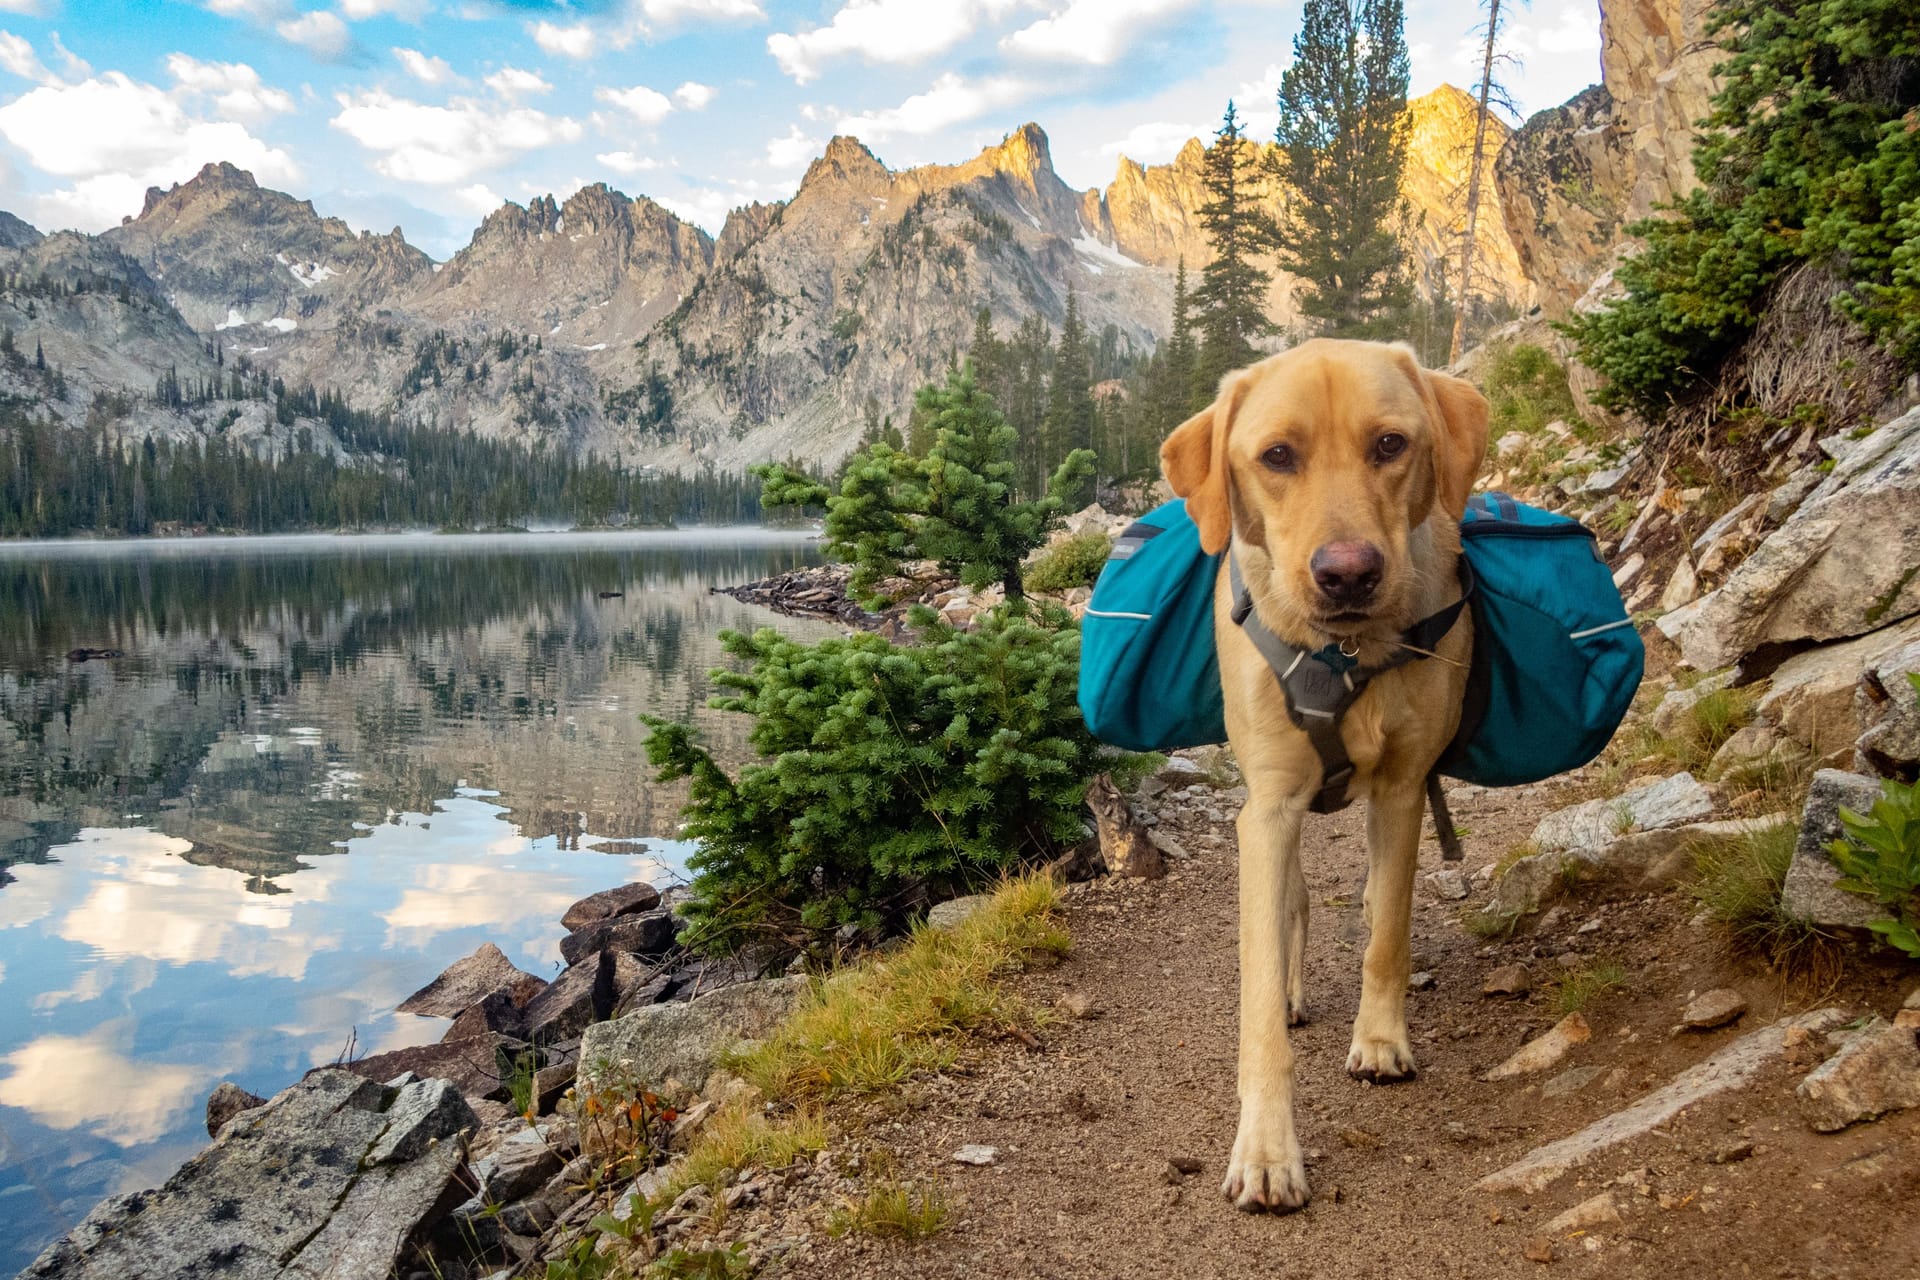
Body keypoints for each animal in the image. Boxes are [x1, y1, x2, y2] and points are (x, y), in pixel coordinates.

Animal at [1152, 337, 1482, 1212]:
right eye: (1277, 456)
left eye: (1391, 445)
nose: (1348, 573)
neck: (1343, 654)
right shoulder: (1267, 810)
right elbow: (1261, 999)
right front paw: (1268, 1149)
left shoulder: (1402, 789)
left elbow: (1388, 932)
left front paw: (1381, 1038)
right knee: (1294, 903)